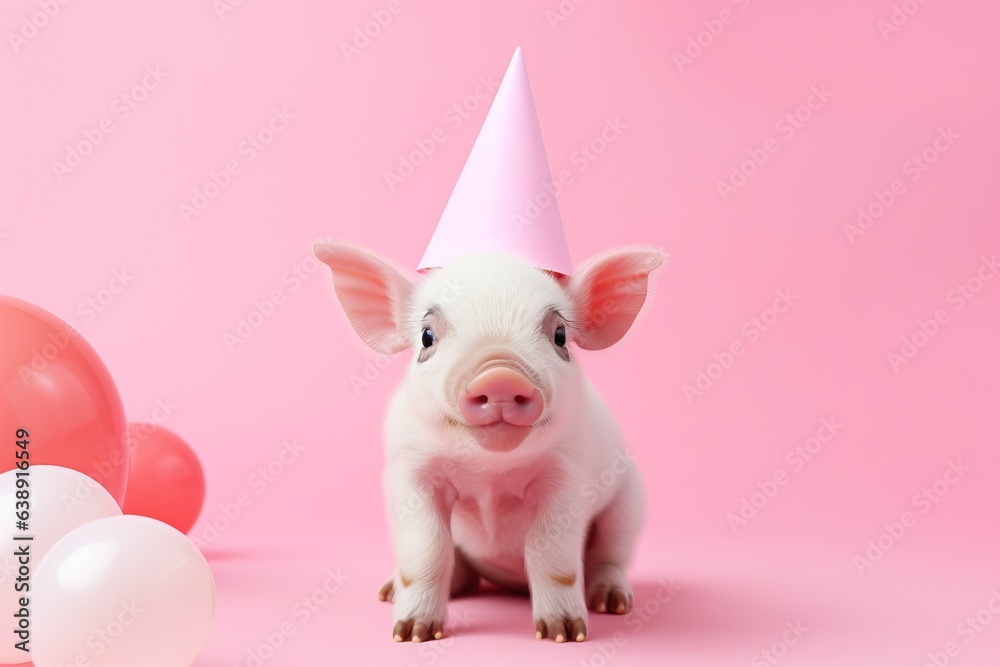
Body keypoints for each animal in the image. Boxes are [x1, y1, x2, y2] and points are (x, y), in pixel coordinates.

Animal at [313, 241, 665, 643]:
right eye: (427, 337)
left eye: (560, 335)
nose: (500, 376)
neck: (490, 476)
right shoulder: (408, 471)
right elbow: (426, 549)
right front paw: (412, 634)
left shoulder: (569, 475)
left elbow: (551, 552)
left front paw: (563, 634)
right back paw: (389, 593)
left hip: (630, 505)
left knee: (610, 555)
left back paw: (612, 602)